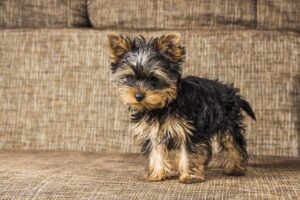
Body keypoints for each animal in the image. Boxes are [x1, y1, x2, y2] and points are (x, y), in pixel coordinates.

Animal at [108, 33, 255, 184]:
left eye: (154, 78)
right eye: (129, 77)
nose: (138, 96)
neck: (162, 107)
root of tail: (231, 92)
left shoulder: (188, 130)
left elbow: (188, 152)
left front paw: (189, 176)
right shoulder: (153, 132)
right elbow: (156, 151)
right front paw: (157, 174)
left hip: (228, 121)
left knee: (234, 143)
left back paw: (235, 168)